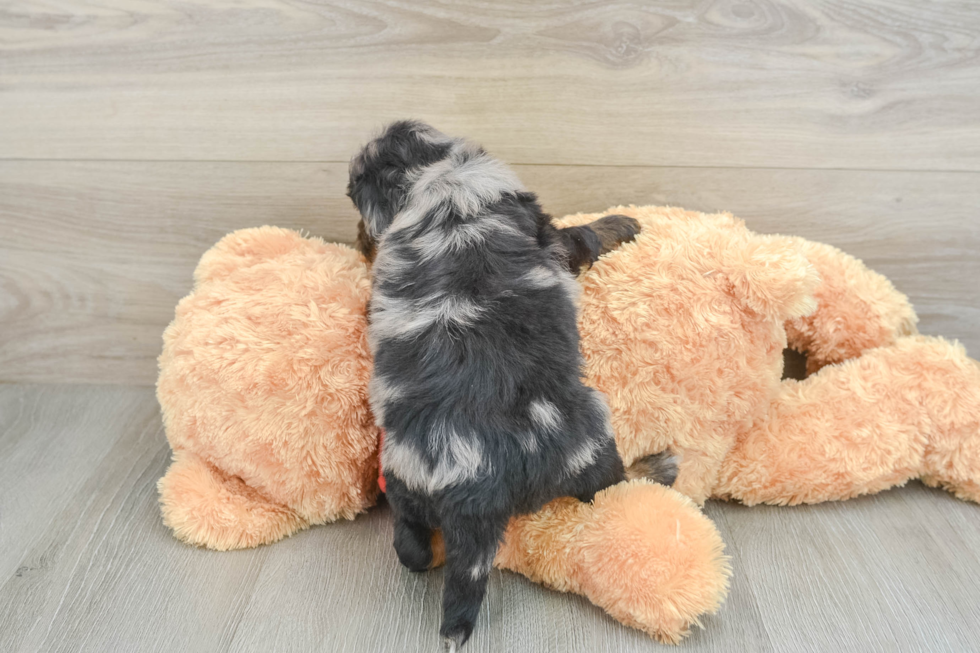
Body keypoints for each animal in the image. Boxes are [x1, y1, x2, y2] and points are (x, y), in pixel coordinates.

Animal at [344, 119, 672, 648]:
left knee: (411, 548)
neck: (435, 178)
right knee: (611, 487)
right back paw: (659, 466)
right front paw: (625, 224)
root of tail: (476, 488)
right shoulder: (549, 232)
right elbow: (584, 235)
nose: (360, 239)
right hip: (589, 433)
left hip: (404, 479)